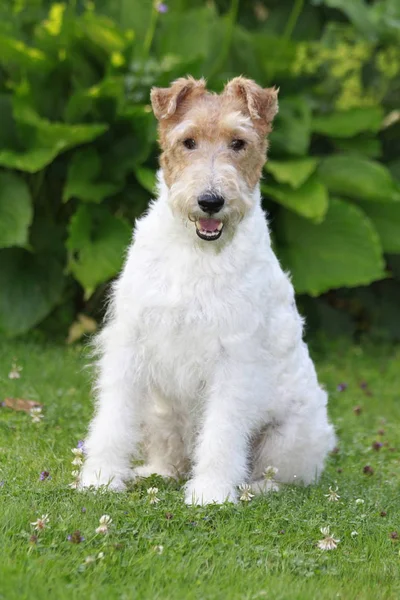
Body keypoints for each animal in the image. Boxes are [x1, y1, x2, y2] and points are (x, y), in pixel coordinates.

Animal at [79, 76, 336, 506]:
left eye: (239, 142)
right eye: (188, 141)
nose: (210, 201)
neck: (196, 252)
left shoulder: (234, 356)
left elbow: (222, 432)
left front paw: (211, 493)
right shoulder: (130, 342)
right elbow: (112, 419)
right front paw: (100, 478)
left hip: (291, 435)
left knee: (285, 474)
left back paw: (254, 486)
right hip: (159, 414)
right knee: (171, 456)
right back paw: (154, 471)